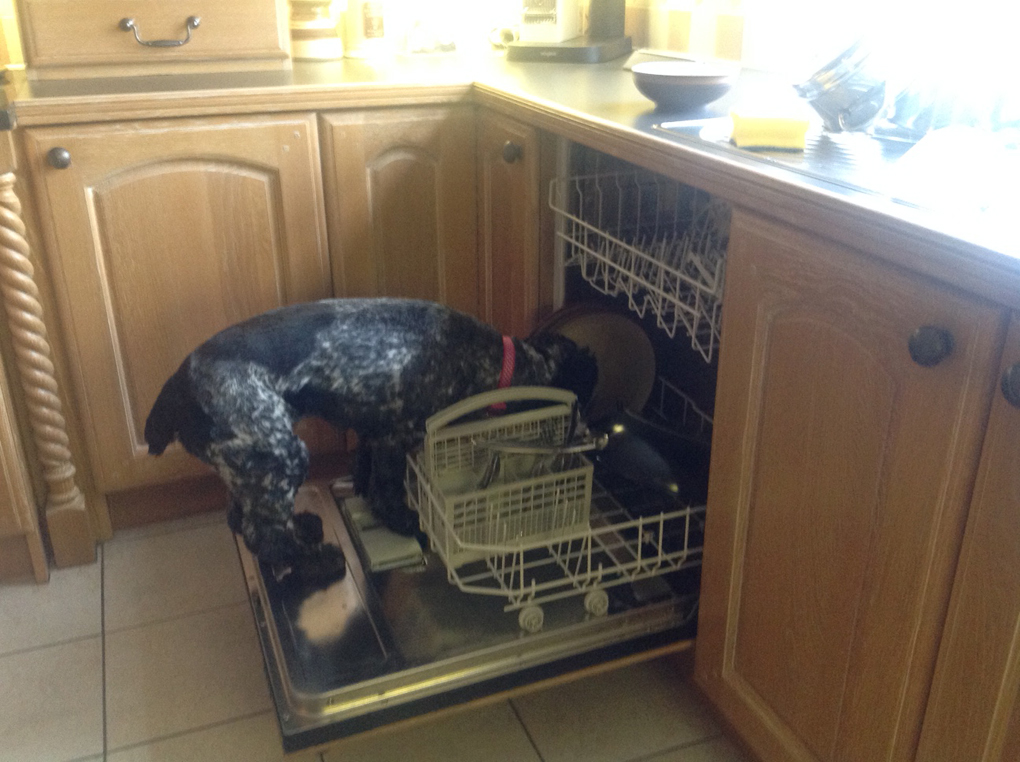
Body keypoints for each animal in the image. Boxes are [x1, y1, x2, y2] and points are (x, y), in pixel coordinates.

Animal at [143, 297, 595, 583]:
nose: (589, 431)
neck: (489, 362)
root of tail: (173, 391)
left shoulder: (372, 430)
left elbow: (364, 468)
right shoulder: (396, 435)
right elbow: (387, 487)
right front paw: (402, 520)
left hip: (253, 460)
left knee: (243, 518)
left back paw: (303, 528)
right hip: (280, 453)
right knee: (263, 535)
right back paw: (318, 563)